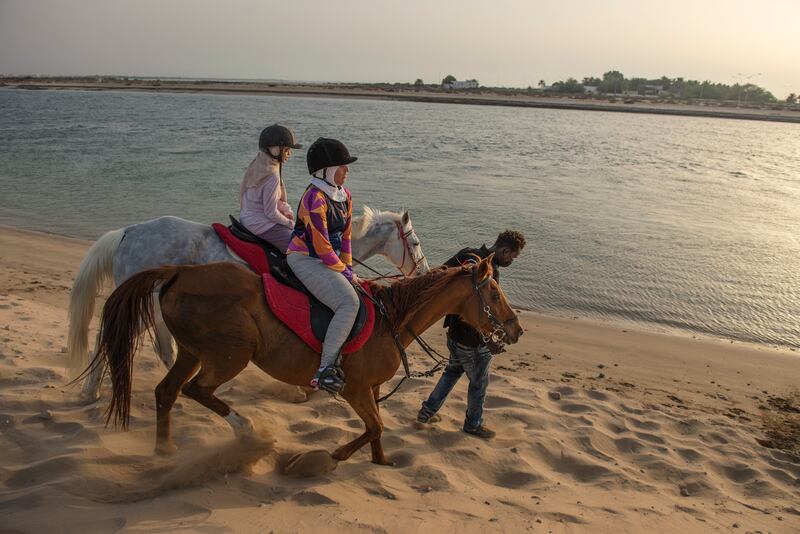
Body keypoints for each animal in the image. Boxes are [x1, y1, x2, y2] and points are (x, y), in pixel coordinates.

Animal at [67, 207, 432, 404]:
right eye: (414, 242)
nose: (425, 271)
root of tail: (128, 232)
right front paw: (302, 388)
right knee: (110, 336)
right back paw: (91, 391)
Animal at [89, 255, 524, 464]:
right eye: (495, 294)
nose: (517, 329)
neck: (392, 319)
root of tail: (179, 271)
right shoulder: (355, 390)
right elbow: (376, 427)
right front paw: (336, 455)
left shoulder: (371, 389)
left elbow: (377, 430)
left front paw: (381, 463)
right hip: (229, 355)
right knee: (198, 391)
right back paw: (247, 431)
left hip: (192, 352)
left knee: (167, 392)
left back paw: (165, 451)